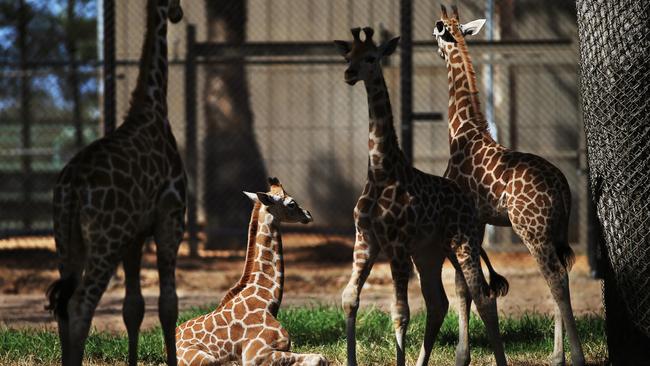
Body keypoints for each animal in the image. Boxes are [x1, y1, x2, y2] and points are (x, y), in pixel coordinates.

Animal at [45, 1, 185, 364]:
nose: (177, 13)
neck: (153, 108)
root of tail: (73, 186)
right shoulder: (170, 218)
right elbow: (168, 305)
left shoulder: (134, 236)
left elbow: (132, 307)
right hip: (104, 240)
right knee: (80, 304)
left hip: (67, 240)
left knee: (63, 306)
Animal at [175, 177, 326, 366]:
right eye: (291, 204)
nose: (308, 214)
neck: (267, 300)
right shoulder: (255, 354)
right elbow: (319, 358)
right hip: (206, 359)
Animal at [334, 26, 506, 366]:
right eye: (348, 57)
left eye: (371, 57)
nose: (349, 74)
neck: (381, 170)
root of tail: (469, 205)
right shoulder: (366, 239)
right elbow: (350, 299)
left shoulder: (397, 245)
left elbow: (400, 313)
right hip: (431, 252)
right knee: (439, 302)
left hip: (463, 243)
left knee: (482, 297)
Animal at [432, 5, 584, 366]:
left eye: (435, 32)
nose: (436, 46)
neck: (461, 133)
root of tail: (564, 190)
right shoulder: (477, 222)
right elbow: (464, 286)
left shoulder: (467, 221)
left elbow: (464, 287)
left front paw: (462, 355)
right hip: (553, 232)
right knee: (561, 275)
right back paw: (557, 356)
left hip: (531, 229)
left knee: (556, 278)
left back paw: (576, 356)